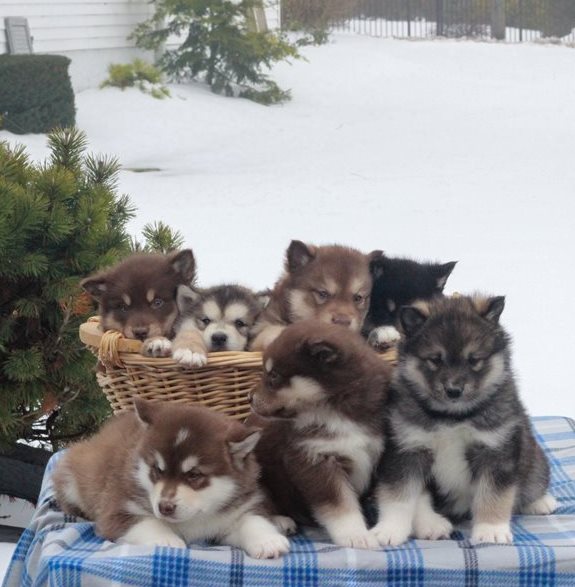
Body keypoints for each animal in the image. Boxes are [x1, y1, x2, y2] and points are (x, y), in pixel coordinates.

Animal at [54, 400, 290, 560]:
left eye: (194, 475)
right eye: (157, 470)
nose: (164, 507)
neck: (194, 520)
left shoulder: (232, 512)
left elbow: (252, 520)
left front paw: (267, 540)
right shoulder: (116, 510)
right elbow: (146, 522)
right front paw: (166, 539)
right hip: (70, 476)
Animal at [250, 320, 394, 548]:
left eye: (273, 376)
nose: (249, 398)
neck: (334, 409)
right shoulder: (317, 460)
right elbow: (341, 506)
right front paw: (356, 535)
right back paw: (280, 521)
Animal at [372, 296, 556, 548]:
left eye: (474, 360)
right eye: (435, 360)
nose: (453, 390)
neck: (453, 417)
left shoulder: (495, 451)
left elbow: (494, 495)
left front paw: (491, 531)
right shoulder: (407, 450)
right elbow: (399, 496)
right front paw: (389, 530)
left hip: (534, 459)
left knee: (533, 480)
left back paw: (541, 502)